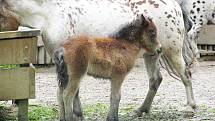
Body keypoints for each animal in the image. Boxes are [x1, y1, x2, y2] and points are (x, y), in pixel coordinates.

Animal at [0, 0, 197, 120]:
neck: (50, 14)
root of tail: (175, 5)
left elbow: (72, 91)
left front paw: (77, 114)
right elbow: (68, 91)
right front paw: (76, 114)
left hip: (172, 51)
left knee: (186, 75)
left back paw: (190, 107)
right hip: (152, 54)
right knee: (155, 80)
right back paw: (141, 110)